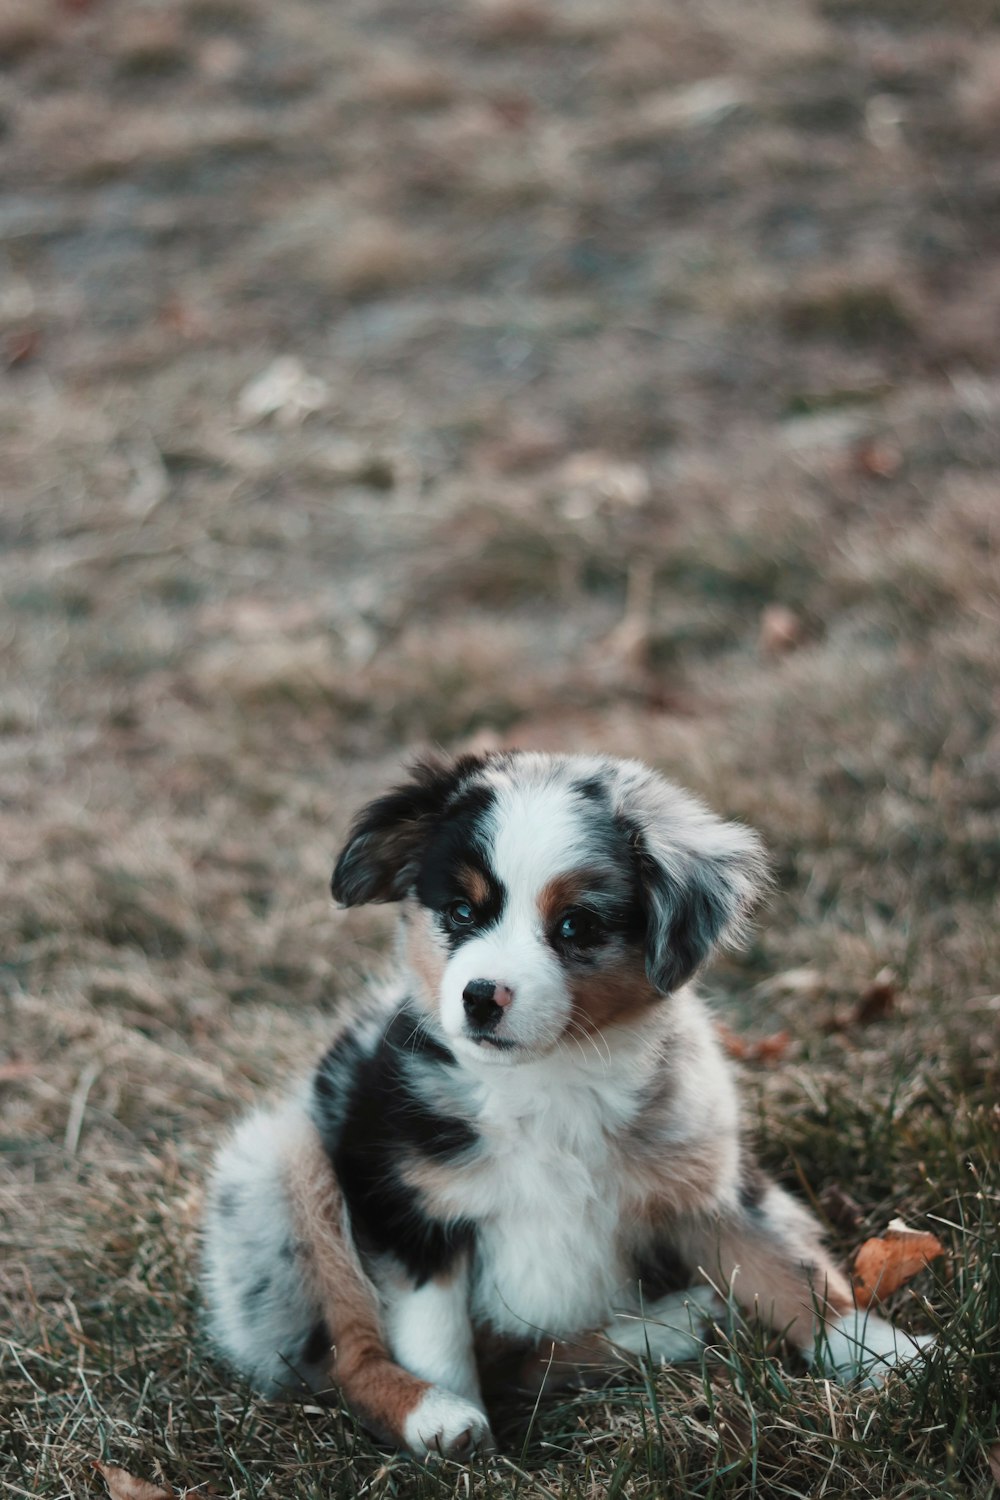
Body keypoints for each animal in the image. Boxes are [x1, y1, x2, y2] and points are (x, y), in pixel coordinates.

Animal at [199, 756, 935, 1458]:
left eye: (576, 924)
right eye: (460, 912)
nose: (479, 997)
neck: (551, 1079)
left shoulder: (711, 1182)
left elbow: (789, 1272)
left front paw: (887, 1355)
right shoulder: (412, 1209)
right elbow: (437, 1339)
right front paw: (456, 1431)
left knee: (525, 1362)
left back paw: (667, 1328)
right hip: (283, 1165)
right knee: (352, 1356)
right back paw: (437, 1410)